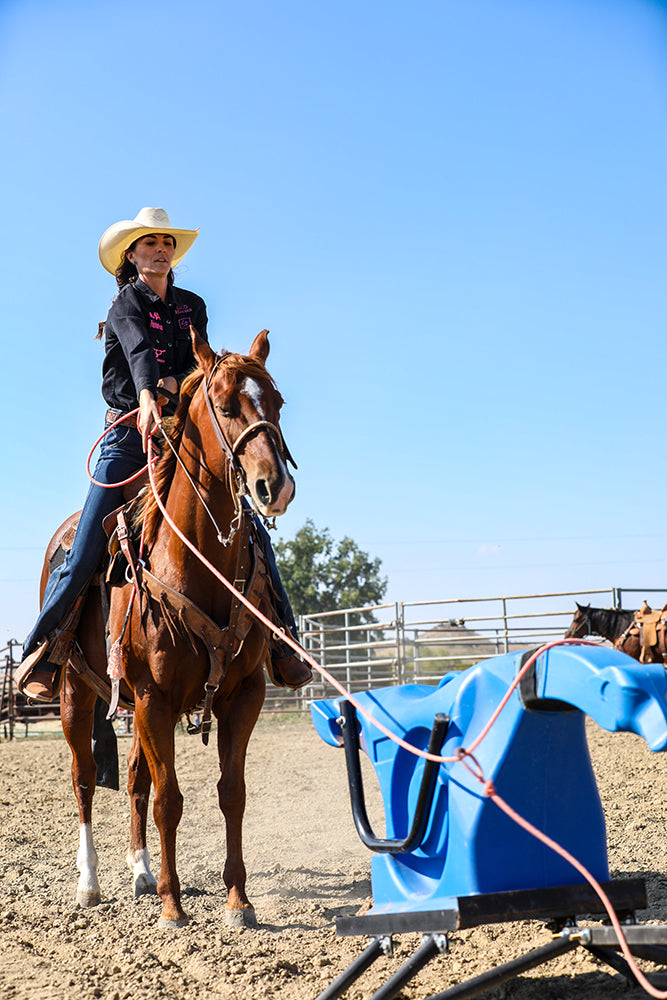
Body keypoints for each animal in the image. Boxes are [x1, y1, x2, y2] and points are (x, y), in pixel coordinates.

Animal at [49, 330, 294, 928]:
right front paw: (172, 904)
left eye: (277, 403)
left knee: (135, 779)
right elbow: (170, 800)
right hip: (76, 692)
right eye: (225, 405)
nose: (274, 486)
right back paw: (90, 884)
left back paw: (139, 871)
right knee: (85, 778)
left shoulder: (243, 694)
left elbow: (231, 792)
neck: (196, 563)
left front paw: (238, 900)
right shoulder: (153, 696)